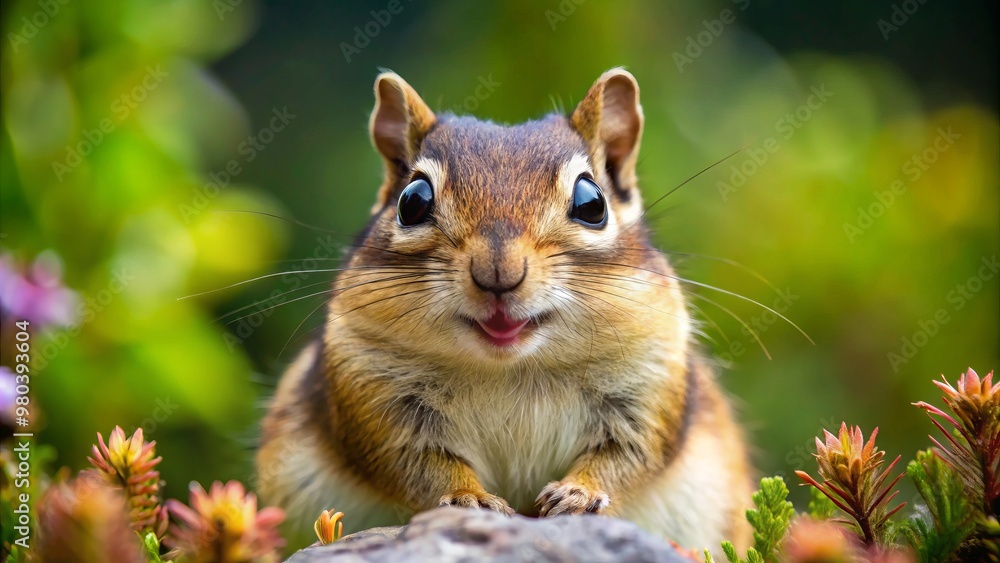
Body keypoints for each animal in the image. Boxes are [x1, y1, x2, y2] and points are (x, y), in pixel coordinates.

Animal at [256, 68, 753, 554]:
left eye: (592, 203)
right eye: (412, 201)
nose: (498, 272)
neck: (512, 368)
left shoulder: (650, 379)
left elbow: (630, 456)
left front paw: (580, 492)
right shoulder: (370, 392)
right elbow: (414, 463)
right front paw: (468, 496)